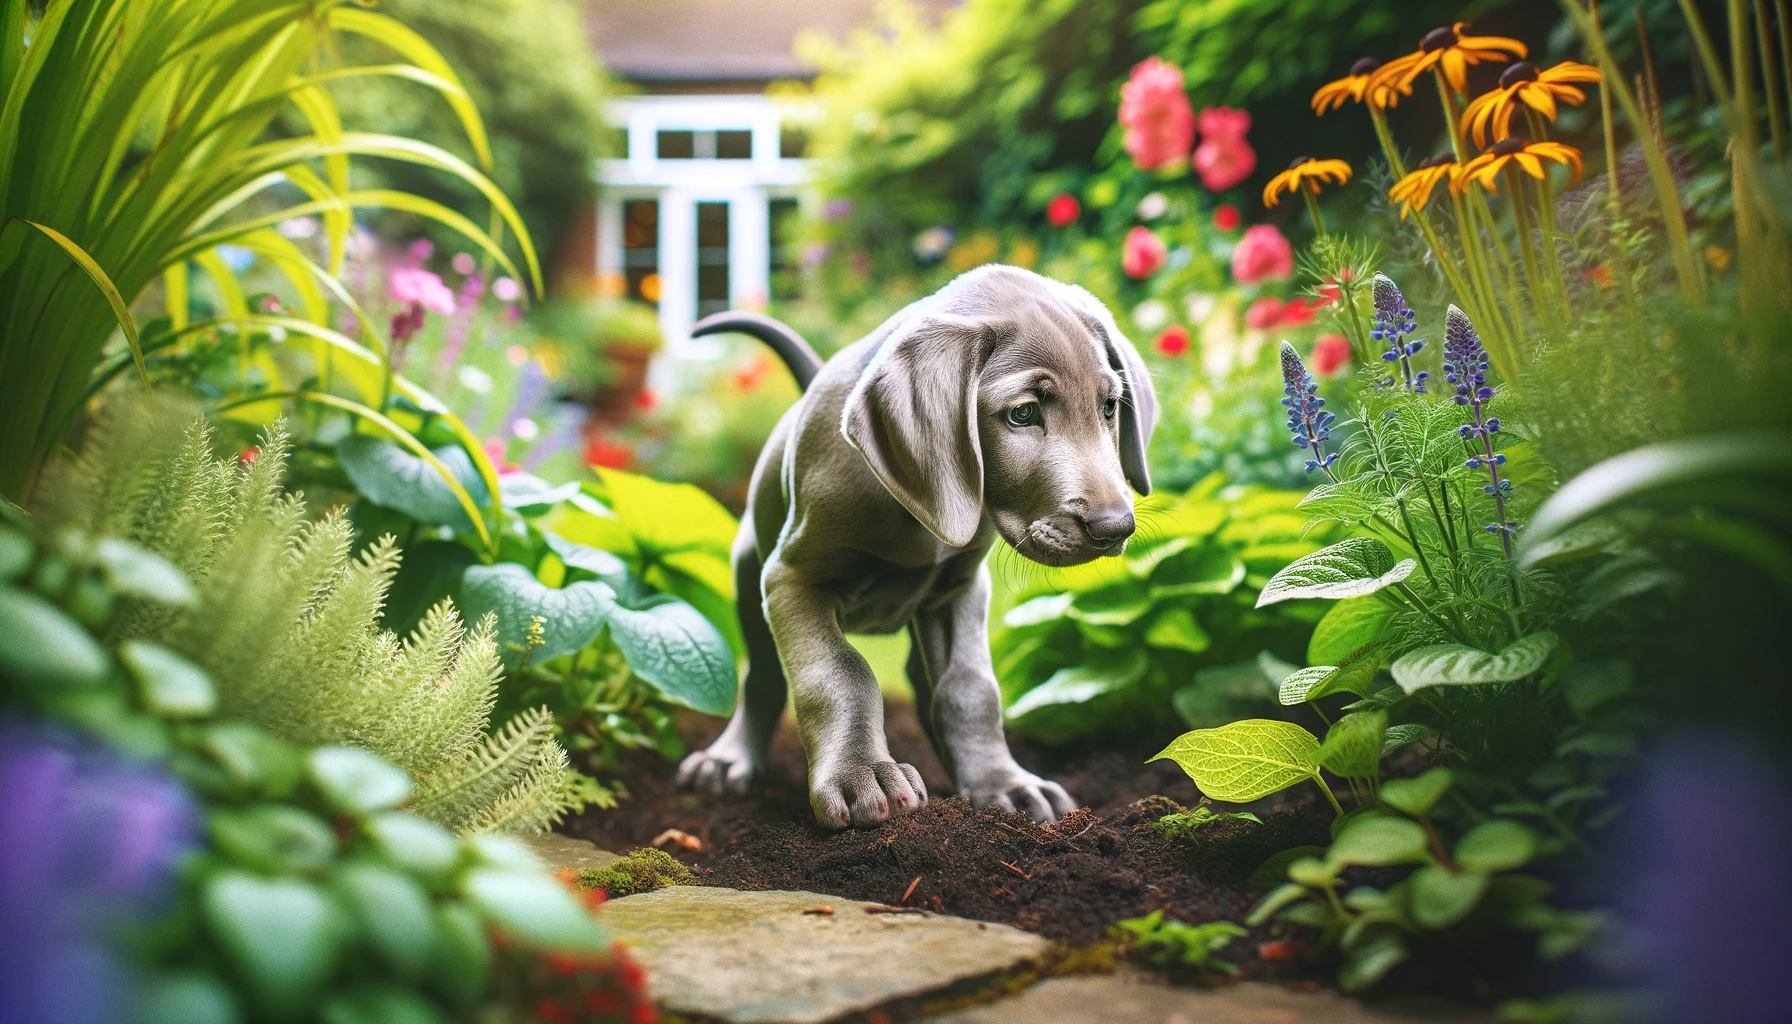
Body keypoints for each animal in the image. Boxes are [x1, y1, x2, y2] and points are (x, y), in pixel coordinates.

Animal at [673, 260, 1161, 828]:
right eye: (1022, 414)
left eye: (1109, 407)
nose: (1115, 527)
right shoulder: (793, 578)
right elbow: (840, 672)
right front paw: (861, 774)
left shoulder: (961, 587)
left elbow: (970, 688)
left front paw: (1002, 783)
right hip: (749, 569)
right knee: (764, 674)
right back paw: (728, 760)